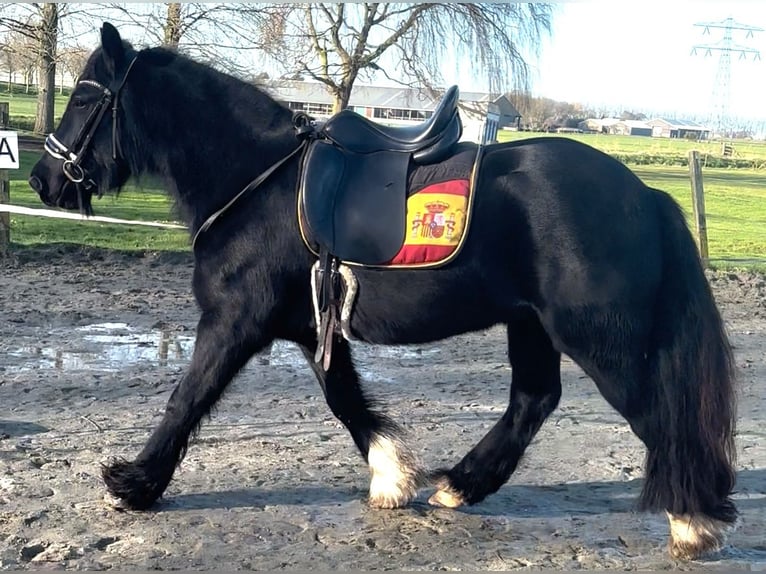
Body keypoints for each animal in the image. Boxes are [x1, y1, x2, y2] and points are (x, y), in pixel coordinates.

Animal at [28, 23, 736, 564]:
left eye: (86, 97)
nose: (41, 180)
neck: (258, 184)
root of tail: (644, 194)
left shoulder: (234, 322)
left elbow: (187, 397)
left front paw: (133, 484)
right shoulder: (310, 328)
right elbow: (345, 401)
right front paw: (393, 475)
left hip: (597, 338)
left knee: (656, 416)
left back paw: (693, 520)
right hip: (533, 325)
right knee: (534, 400)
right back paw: (461, 485)